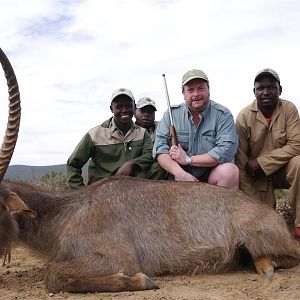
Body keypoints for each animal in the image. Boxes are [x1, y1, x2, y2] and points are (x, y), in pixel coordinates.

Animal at [0, 48, 298, 292]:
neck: (68, 212)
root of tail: (270, 214)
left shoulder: (119, 257)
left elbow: (53, 276)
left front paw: (139, 281)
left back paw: (267, 268)